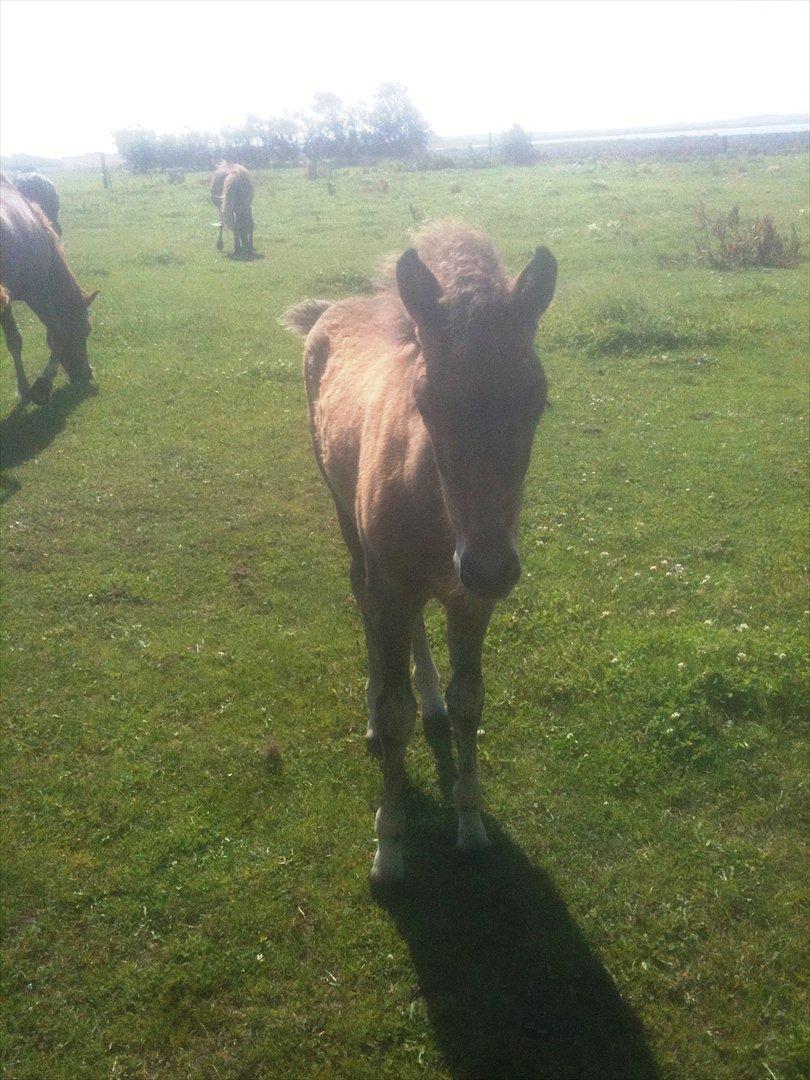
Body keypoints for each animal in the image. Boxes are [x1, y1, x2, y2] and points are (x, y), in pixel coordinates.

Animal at [0, 172, 97, 406]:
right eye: (86, 329)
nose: (87, 372)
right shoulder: (38, 291)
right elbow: (57, 333)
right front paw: (42, 385)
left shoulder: (5, 303)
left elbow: (13, 341)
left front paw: (23, 387)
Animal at [285, 223, 557, 881]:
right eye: (427, 402)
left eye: (537, 400)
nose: (490, 567)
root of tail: (330, 309)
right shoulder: (394, 585)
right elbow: (393, 712)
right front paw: (389, 846)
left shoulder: (468, 601)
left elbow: (469, 701)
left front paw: (471, 822)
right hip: (348, 522)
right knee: (362, 599)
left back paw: (427, 695)